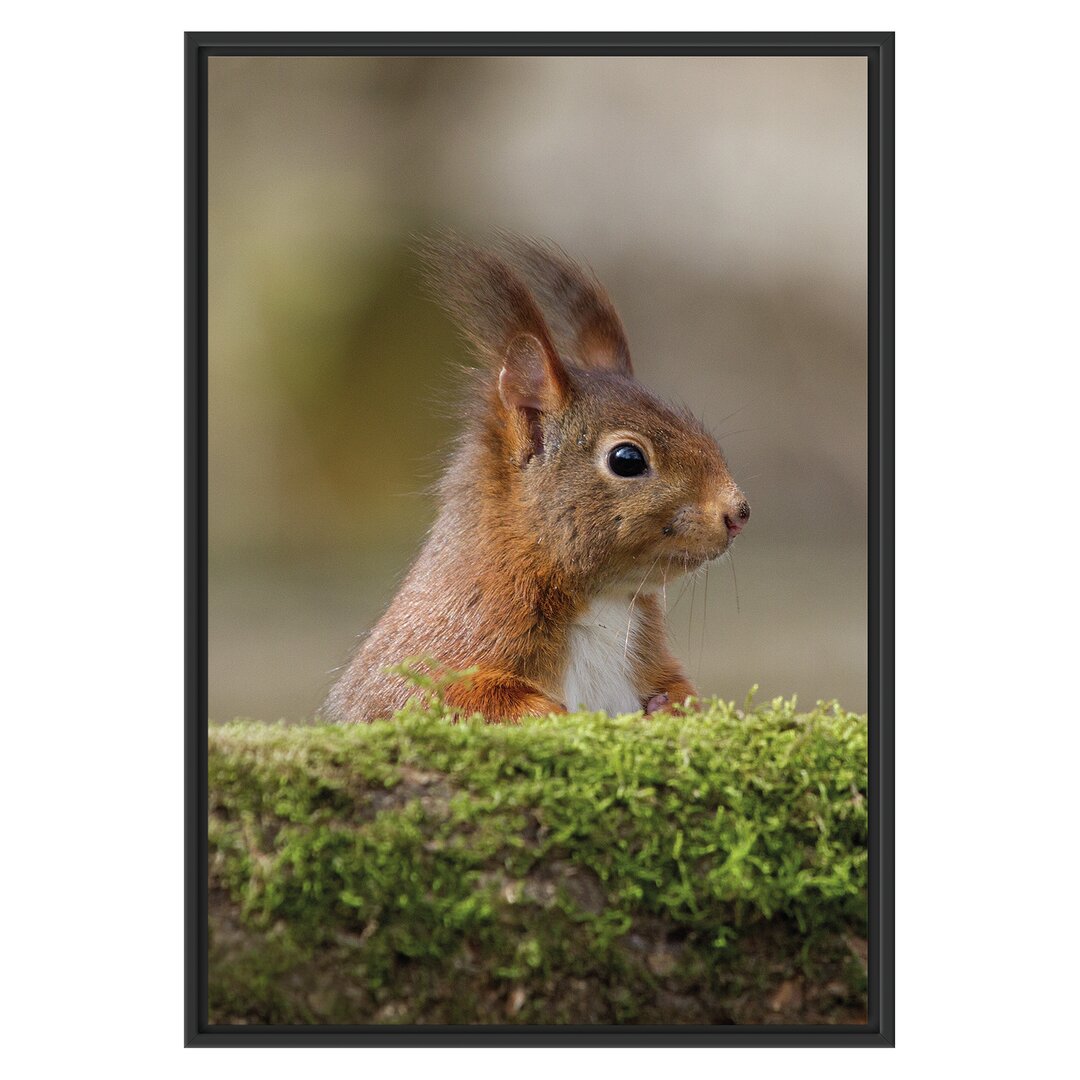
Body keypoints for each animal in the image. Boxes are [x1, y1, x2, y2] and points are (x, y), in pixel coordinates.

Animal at [321, 236, 751, 725]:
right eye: (627, 459)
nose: (738, 513)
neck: (603, 602)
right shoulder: (443, 648)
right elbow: (452, 698)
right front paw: (553, 713)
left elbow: (678, 689)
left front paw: (672, 706)